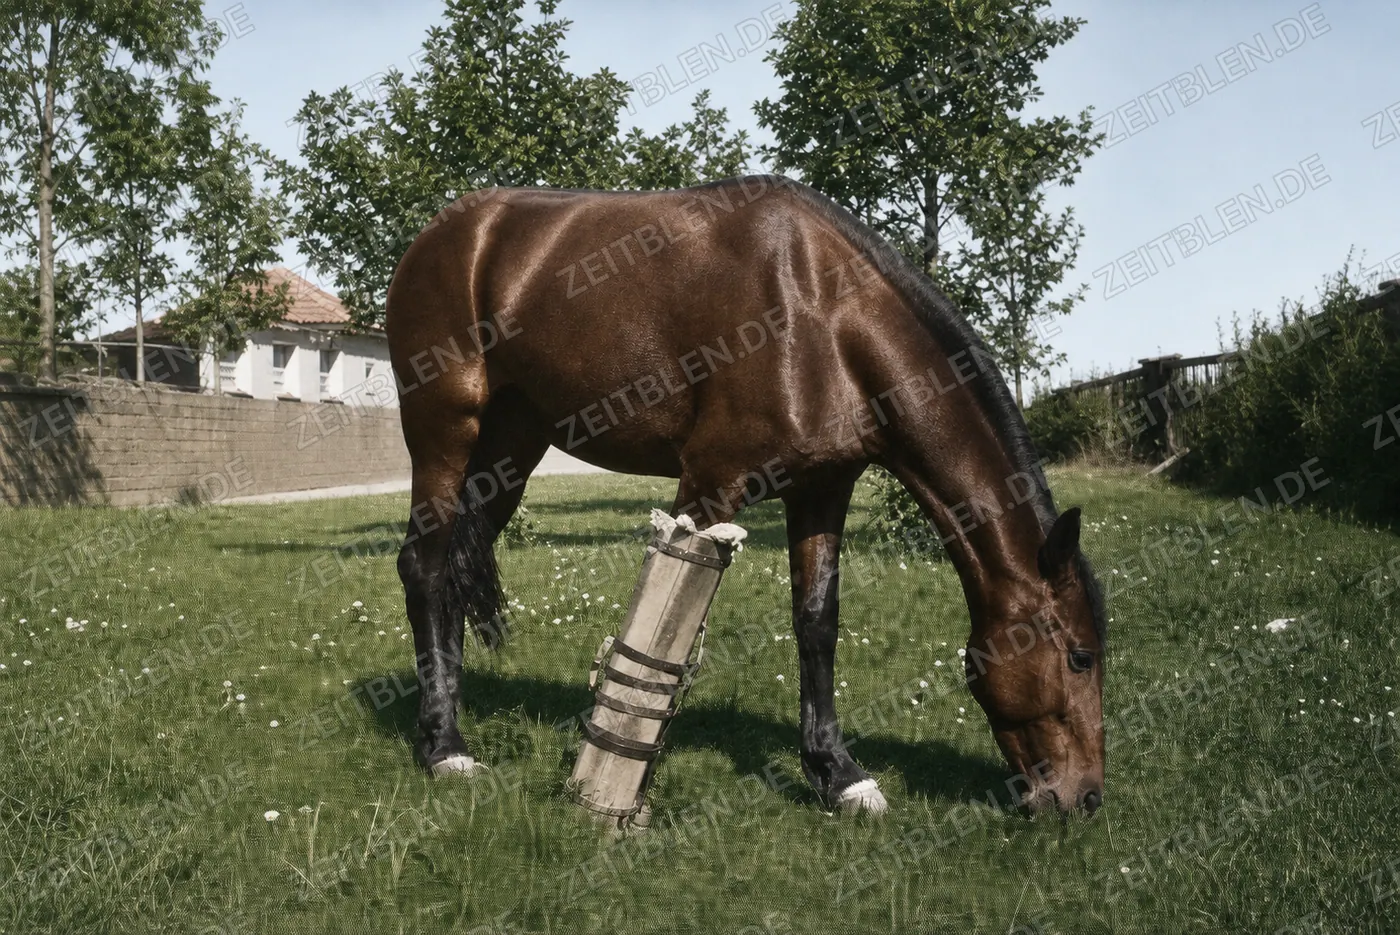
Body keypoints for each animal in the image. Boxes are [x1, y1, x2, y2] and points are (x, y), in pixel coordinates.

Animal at [385, 174, 1106, 817]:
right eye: (1080, 654)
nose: (1087, 797)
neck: (822, 315)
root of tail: (444, 233)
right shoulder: (707, 487)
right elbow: (662, 644)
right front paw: (614, 781)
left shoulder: (822, 491)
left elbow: (817, 622)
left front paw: (837, 774)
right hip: (444, 432)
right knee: (424, 568)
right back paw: (444, 745)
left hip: (511, 444)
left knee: (453, 574)